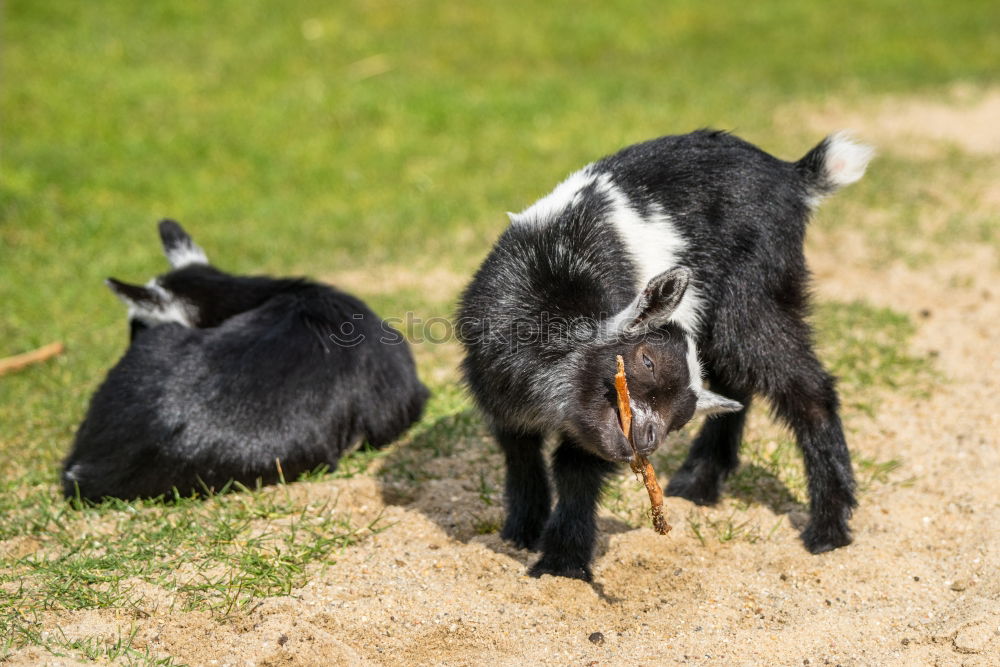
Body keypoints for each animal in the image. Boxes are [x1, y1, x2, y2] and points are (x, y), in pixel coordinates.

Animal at [460, 129, 876, 580]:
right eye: (647, 360)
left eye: (679, 421)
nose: (648, 438)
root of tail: (791, 175)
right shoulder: (498, 391)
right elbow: (519, 453)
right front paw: (521, 530)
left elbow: (576, 469)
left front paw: (561, 564)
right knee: (736, 380)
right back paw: (699, 484)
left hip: (756, 293)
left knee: (806, 388)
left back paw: (829, 526)